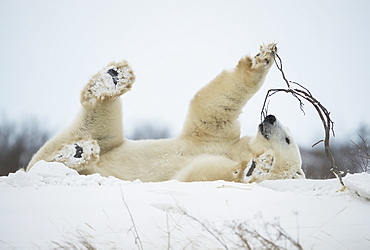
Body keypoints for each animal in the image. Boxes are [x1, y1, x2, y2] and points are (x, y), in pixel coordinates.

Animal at [25, 44, 304, 183]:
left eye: (288, 139)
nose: (270, 117)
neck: (239, 151)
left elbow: (198, 172)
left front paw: (254, 168)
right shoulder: (217, 136)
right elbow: (213, 105)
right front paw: (263, 58)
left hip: (95, 164)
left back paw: (78, 152)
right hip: (109, 145)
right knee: (100, 125)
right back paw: (112, 81)